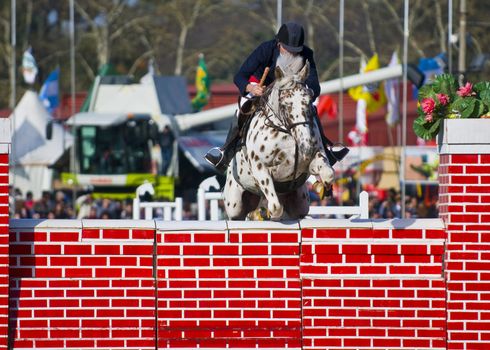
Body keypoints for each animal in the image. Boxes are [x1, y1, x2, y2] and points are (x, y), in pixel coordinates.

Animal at [224, 54, 334, 219]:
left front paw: (322, 187)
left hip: (299, 204)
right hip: (235, 205)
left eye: (309, 102)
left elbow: (328, 173)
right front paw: (266, 213)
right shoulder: (261, 168)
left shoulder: (312, 160)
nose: (306, 148)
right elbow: (275, 206)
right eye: (284, 104)